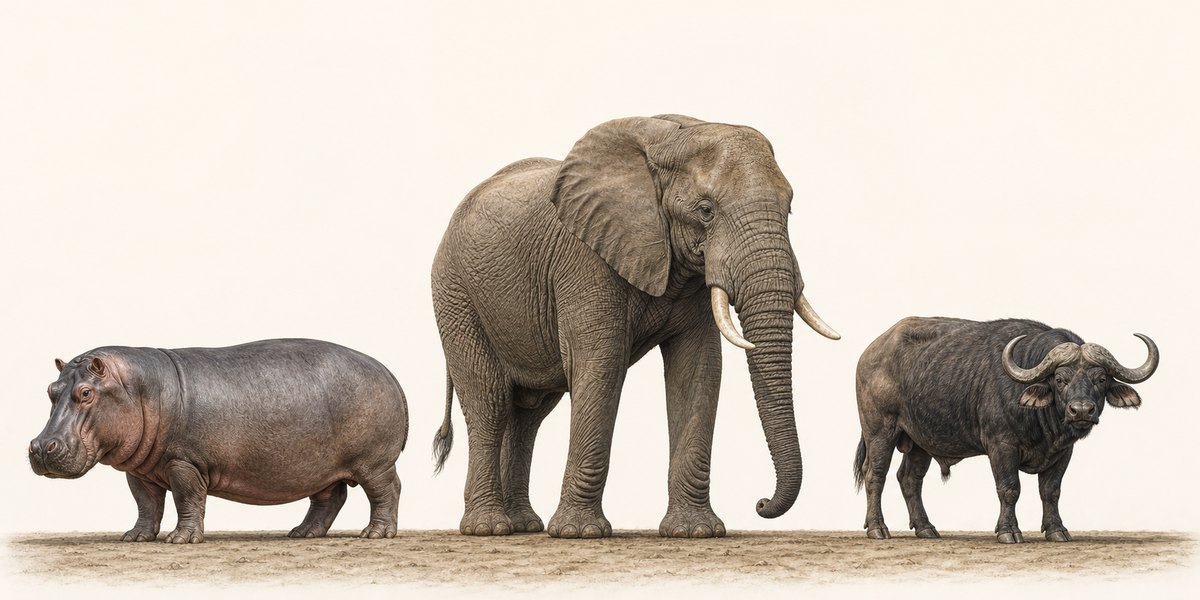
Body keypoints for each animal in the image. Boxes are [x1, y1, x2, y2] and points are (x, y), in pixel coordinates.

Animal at [29, 338, 408, 543]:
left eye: (86, 392)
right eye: (50, 390)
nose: (40, 447)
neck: (136, 388)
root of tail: (390, 373)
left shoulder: (184, 462)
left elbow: (187, 499)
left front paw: (180, 540)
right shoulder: (139, 472)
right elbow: (146, 505)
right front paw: (135, 537)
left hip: (374, 463)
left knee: (387, 490)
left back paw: (375, 534)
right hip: (320, 469)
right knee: (330, 499)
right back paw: (302, 533)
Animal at [431, 114, 840, 539]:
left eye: (789, 209)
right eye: (705, 210)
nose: (760, 503)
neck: (672, 137)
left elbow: (698, 369)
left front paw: (694, 532)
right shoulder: (586, 258)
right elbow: (602, 364)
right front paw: (580, 533)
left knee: (529, 415)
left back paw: (524, 526)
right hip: (455, 293)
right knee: (489, 401)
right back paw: (489, 528)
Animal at [853, 317, 1159, 543]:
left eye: (1102, 379)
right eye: (1060, 379)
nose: (1081, 410)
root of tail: (870, 353)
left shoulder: (1064, 452)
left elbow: (1051, 490)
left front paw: (1057, 530)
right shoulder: (1001, 446)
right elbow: (1010, 488)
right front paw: (1008, 532)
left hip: (919, 441)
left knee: (909, 479)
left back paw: (926, 528)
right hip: (880, 429)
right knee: (875, 474)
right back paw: (878, 529)